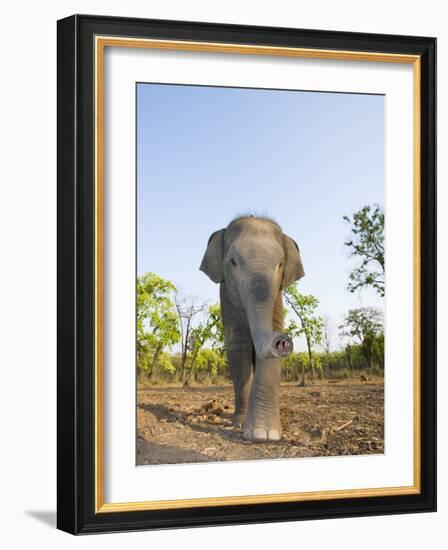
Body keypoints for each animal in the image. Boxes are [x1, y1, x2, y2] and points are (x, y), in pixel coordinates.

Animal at [200, 216, 302, 444]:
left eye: (280, 264)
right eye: (233, 262)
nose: (283, 341)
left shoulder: (277, 295)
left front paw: (266, 434)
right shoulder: (226, 294)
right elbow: (238, 346)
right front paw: (241, 424)